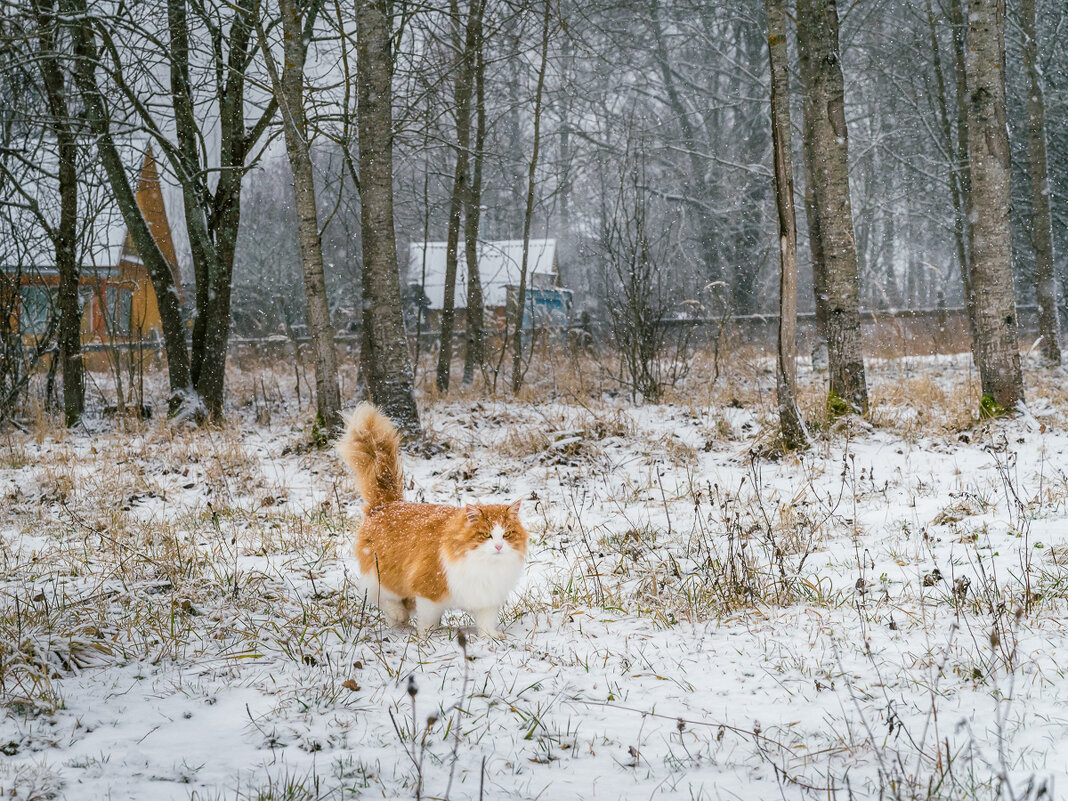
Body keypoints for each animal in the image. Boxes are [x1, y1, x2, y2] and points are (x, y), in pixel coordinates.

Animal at [337, 403, 525, 645]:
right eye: (486, 535)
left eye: (507, 533)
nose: (499, 546)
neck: (484, 565)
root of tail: (387, 504)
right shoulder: (429, 592)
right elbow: (427, 620)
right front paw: (428, 637)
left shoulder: (486, 598)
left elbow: (486, 623)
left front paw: (490, 637)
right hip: (384, 572)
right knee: (381, 596)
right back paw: (399, 618)